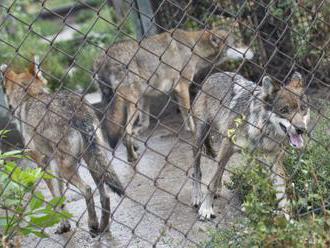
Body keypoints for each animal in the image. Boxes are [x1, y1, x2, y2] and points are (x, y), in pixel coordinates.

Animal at [0, 58, 124, 236]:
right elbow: (60, 197)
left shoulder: (42, 164)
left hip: (69, 168)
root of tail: (78, 112)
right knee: (105, 195)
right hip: (93, 163)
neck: (30, 97)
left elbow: (55, 199)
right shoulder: (54, 165)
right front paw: (64, 224)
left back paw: (93, 224)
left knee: (87, 189)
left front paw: (63, 225)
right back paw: (103, 227)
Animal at [93, 28, 253, 162]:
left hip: (126, 103)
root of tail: (103, 59)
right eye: (237, 43)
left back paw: (133, 150)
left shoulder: (147, 97)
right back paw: (132, 158)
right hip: (133, 103)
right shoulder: (182, 87)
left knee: (124, 131)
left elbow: (144, 124)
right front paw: (194, 133)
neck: (193, 47)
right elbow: (190, 118)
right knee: (125, 133)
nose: (252, 52)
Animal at [191, 70, 310, 220]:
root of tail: (214, 74)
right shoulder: (227, 146)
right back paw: (197, 196)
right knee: (197, 169)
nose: (301, 129)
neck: (261, 128)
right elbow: (211, 182)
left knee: (221, 169)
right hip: (200, 139)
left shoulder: (273, 160)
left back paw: (218, 190)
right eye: (284, 110)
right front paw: (206, 208)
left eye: (303, 109)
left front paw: (287, 218)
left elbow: (281, 190)